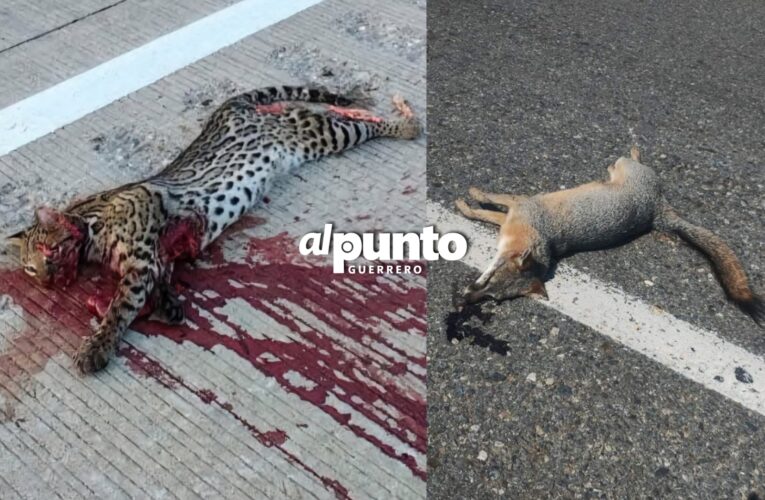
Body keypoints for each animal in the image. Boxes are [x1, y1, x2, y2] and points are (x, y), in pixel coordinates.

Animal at [453, 146, 765, 327]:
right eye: (489, 287)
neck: (542, 238)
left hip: (626, 166)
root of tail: (657, 209)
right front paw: (473, 197)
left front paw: (469, 202)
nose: (464, 299)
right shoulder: (516, 210)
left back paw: (632, 150)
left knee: (626, 159)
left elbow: (488, 207)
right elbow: (491, 203)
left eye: (492, 296)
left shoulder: (519, 207)